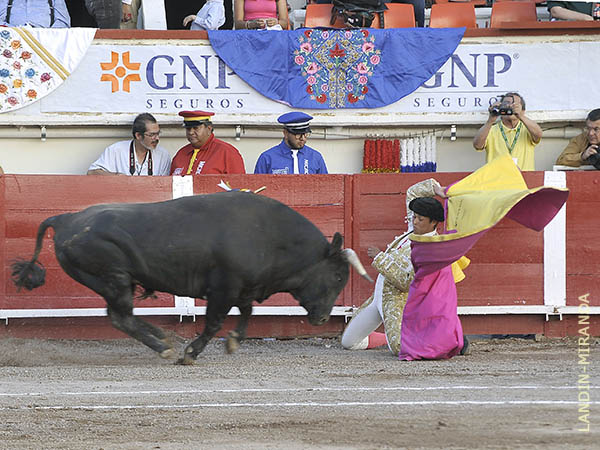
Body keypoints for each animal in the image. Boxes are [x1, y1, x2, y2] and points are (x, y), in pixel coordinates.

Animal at [10, 192, 370, 364]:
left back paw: (160, 337)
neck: (270, 235)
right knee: (121, 317)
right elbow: (213, 323)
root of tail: (67, 218)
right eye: (338, 274)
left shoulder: (243, 288)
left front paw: (234, 341)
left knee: (121, 317)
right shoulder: (223, 289)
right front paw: (191, 354)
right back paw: (164, 347)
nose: (323, 318)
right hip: (114, 279)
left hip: (113, 282)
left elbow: (247, 314)